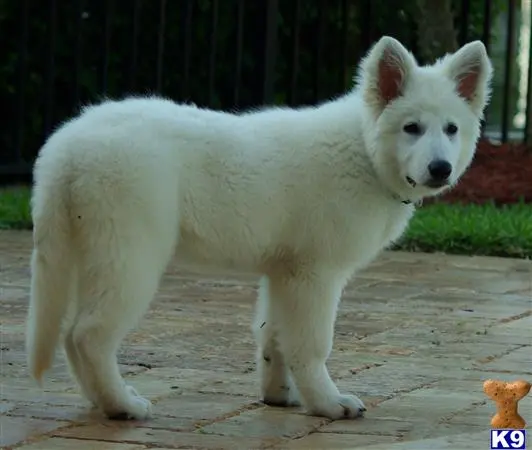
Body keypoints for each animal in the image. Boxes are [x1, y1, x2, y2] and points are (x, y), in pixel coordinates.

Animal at [25, 37, 490, 420]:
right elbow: (311, 344)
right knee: (89, 335)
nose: (441, 169)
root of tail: (66, 146)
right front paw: (327, 403)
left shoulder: (283, 272)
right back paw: (122, 405)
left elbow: (274, 338)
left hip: (89, 250)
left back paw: (100, 402)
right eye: (411, 128)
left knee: (71, 336)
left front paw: (279, 396)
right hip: (131, 255)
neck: (363, 149)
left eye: (451, 129)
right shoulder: (314, 274)